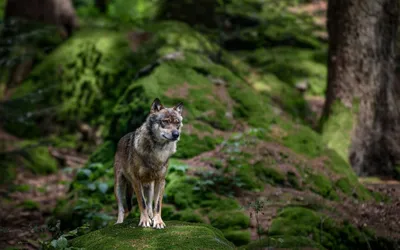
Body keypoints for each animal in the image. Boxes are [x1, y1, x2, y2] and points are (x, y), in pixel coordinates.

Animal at [113, 97, 184, 229]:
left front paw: (158, 222)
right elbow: (142, 203)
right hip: (119, 185)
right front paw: (145, 221)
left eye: (177, 123)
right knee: (122, 208)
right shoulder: (136, 180)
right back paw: (119, 223)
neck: (158, 151)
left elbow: (157, 205)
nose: (176, 134)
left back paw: (151, 217)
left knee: (150, 203)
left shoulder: (161, 180)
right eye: (165, 121)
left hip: (149, 186)